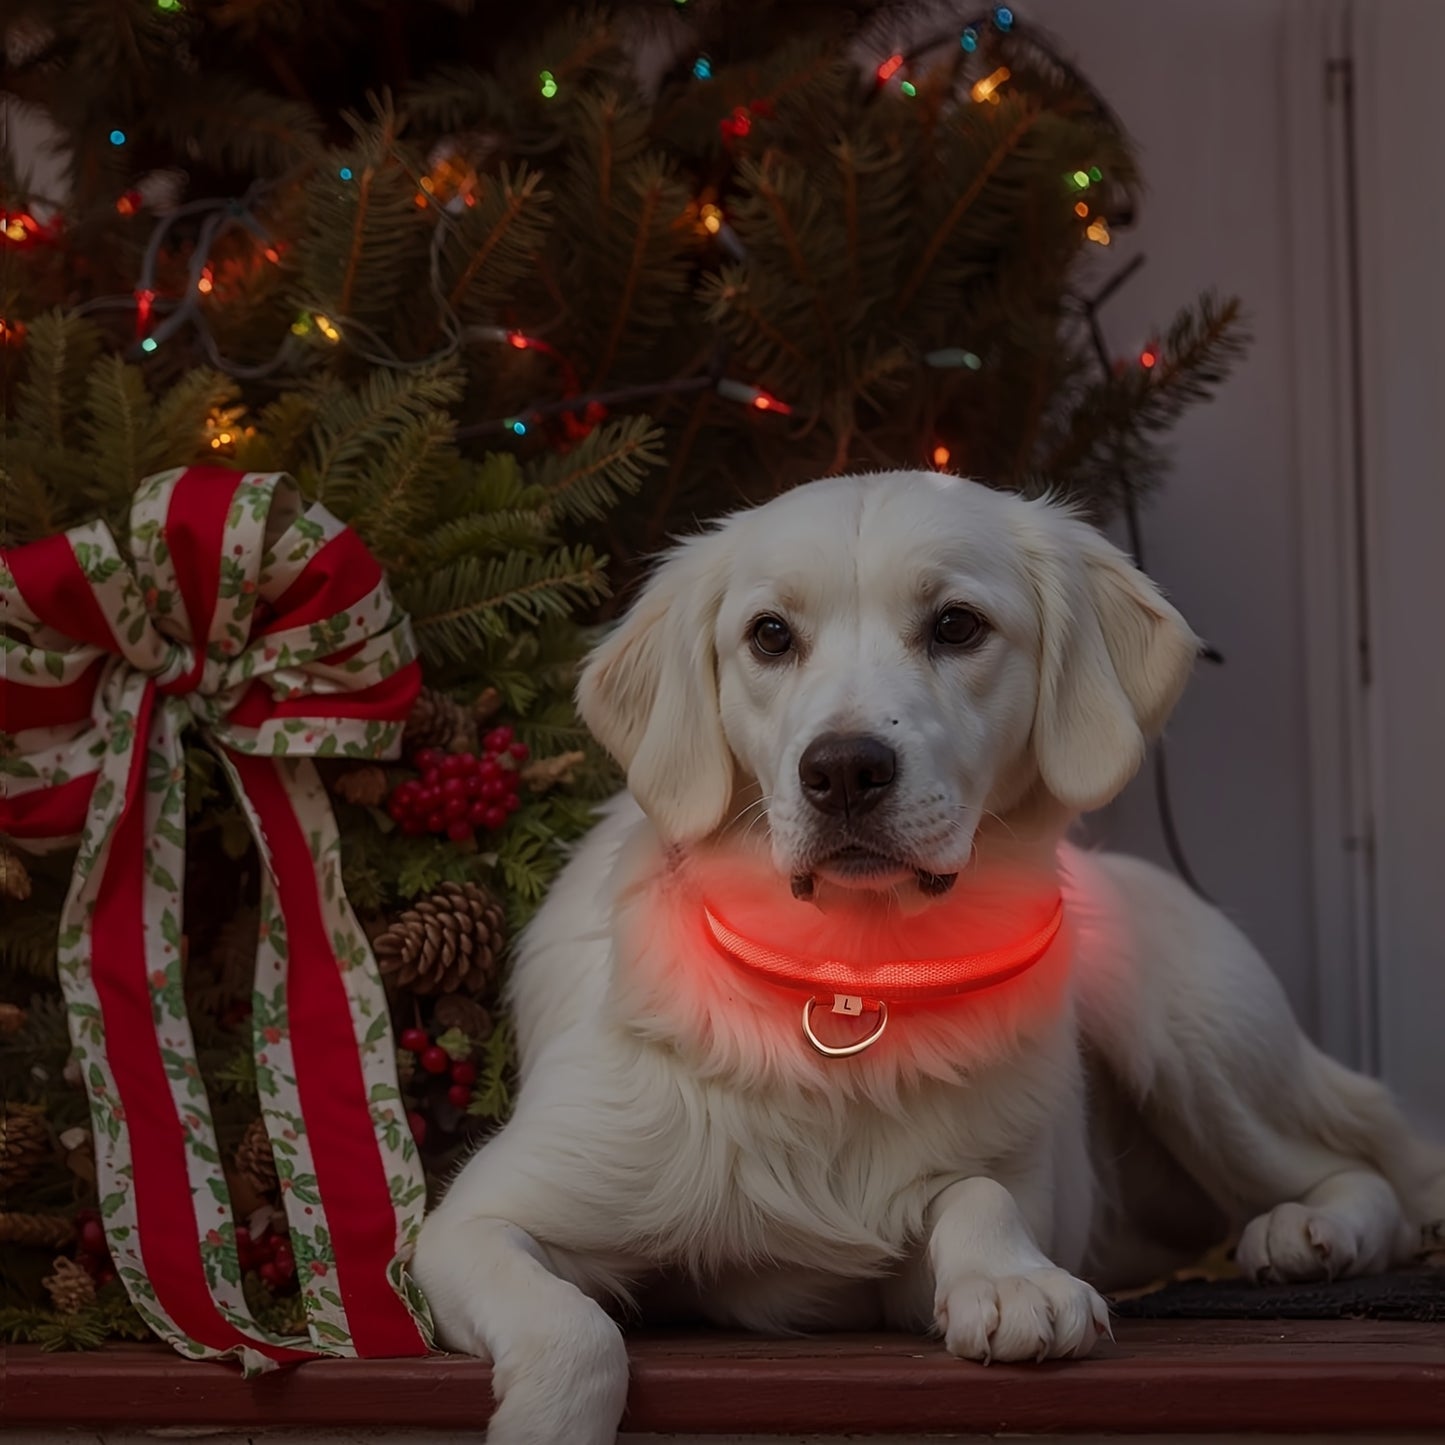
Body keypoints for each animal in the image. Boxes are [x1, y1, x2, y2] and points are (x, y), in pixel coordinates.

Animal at [410, 476, 1445, 1445]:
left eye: (956, 625)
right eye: (769, 635)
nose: (842, 770)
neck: (849, 981)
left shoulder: (928, 1245)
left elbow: (977, 1191)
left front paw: (1015, 1280)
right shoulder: (470, 1223)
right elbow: (576, 1331)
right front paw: (548, 1417)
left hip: (1189, 1039)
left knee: (1361, 1171)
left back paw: (1310, 1231)